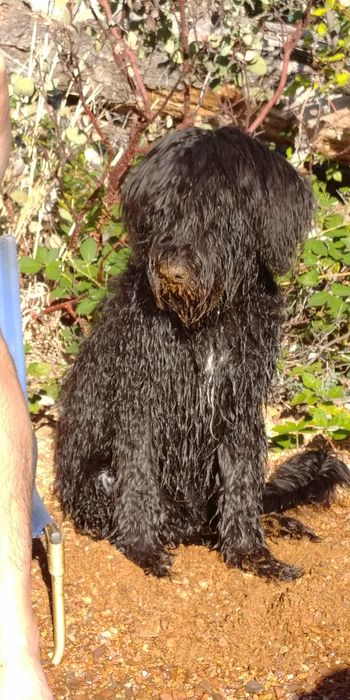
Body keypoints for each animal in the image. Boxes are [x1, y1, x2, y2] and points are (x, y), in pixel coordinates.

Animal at [55, 124, 350, 580]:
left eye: (222, 211)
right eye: (166, 209)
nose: (173, 271)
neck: (207, 322)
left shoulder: (240, 402)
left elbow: (242, 481)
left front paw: (250, 552)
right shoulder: (143, 398)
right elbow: (139, 476)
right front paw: (142, 549)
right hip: (96, 478)